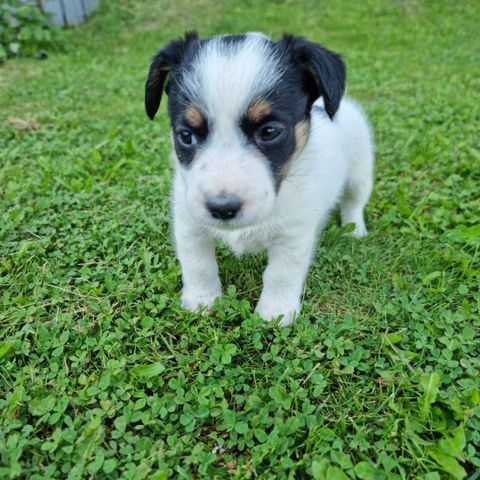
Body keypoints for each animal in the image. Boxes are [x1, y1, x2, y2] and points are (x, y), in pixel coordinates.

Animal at [144, 31, 374, 326]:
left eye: (269, 131)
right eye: (186, 135)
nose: (222, 208)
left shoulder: (294, 234)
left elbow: (281, 273)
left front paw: (275, 313)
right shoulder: (189, 223)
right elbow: (198, 264)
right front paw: (201, 301)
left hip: (361, 171)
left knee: (354, 202)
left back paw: (354, 229)